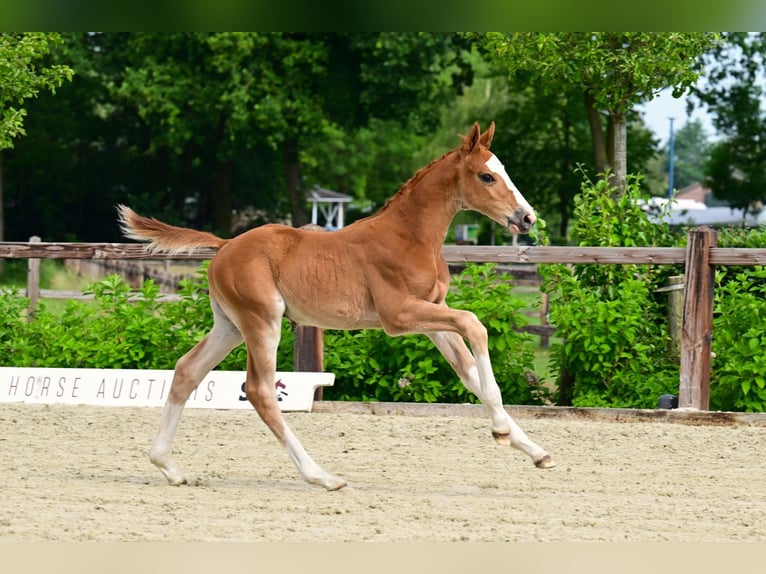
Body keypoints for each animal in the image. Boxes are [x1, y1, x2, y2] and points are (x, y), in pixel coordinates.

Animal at [118, 121, 555, 491]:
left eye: (502, 170)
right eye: (487, 176)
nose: (527, 218)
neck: (409, 236)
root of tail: (225, 245)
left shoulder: (431, 316)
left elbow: (469, 373)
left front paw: (535, 452)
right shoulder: (399, 314)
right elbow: (475, 325)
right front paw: (501, 431)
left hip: (228, 325)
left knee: (187, 370)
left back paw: (169, 467)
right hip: (262, 321)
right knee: (259, 390)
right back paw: (322, 476)